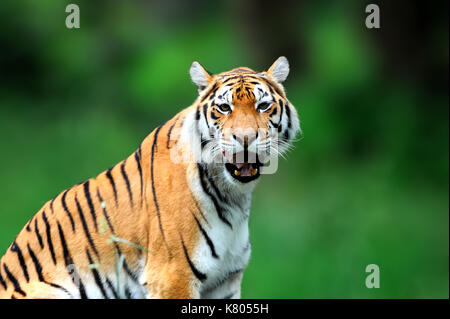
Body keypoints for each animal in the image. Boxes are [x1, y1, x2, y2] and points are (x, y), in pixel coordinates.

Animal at [0, 57, 302, 300]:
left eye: (263, 106)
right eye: (225, 108)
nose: (246, 138)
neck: (234, 196)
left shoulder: (225, 281)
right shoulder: (172, 276)